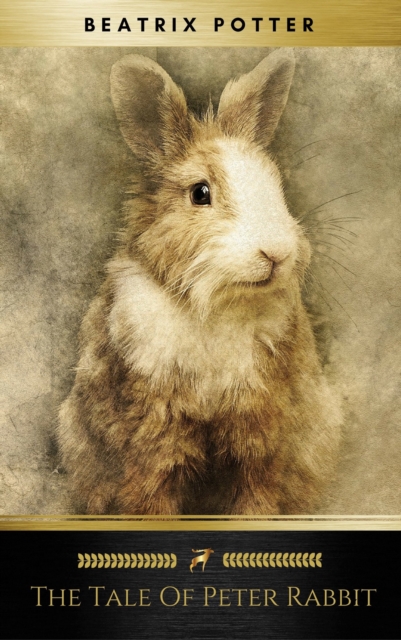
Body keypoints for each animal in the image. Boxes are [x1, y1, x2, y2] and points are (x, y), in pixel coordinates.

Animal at [58, 50, 342, 515]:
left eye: (275, 186)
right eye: (200, 193)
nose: (276, 252)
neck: (214, 306)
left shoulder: (260, 427)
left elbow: (257, 494)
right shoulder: (153, 430)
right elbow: (150, 495)